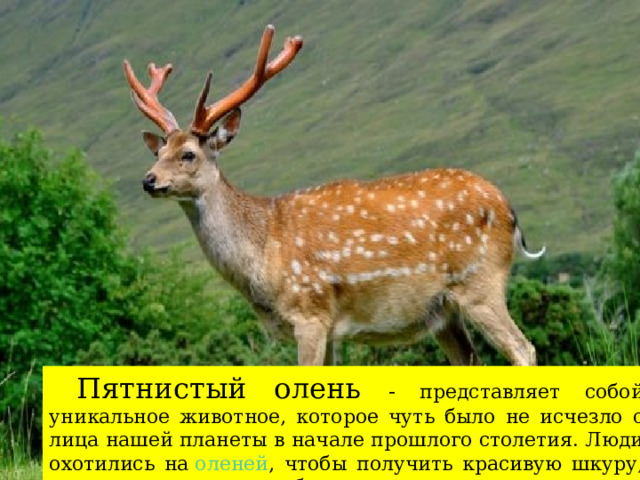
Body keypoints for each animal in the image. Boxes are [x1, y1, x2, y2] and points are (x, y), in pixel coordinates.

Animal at [123, 25, 545, 367]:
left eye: (188, 154)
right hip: (444, 313)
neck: (262, 255)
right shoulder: (326, 328)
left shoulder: (310, 311)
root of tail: (509, 211)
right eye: (158, 151)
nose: (148, 180)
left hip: (480, 284)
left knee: (524, 350)